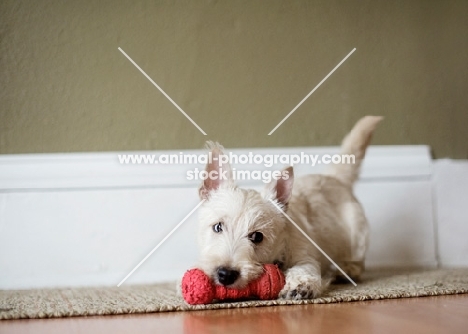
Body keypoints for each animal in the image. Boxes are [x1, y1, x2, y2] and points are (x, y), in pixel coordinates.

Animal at [196, 116, 382, 298]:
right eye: (218, 227)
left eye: (257, 236)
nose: (225, 274)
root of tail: (335, 177)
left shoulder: (306, 257)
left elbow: (304, 269)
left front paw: (300, 286)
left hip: (357, 234)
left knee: (357, 259)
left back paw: (347, 271)